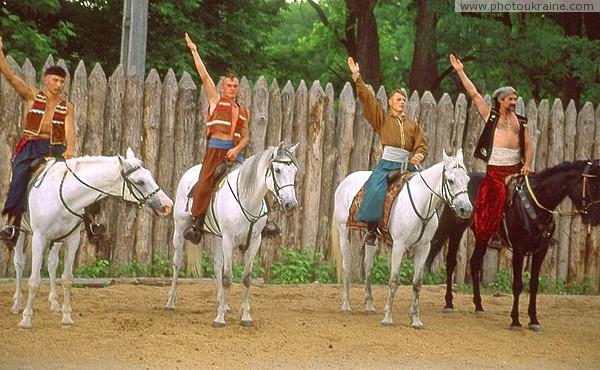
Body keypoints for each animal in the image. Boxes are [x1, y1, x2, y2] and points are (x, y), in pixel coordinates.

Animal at [11, 147, 173, 326]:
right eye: (140, 182)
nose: (168, 205)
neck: (63, 194)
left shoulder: (72, 239)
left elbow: (67, 279)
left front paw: (66, 317)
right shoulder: (39, 238)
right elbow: (34, 281)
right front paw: (26, 319)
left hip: (57, 240)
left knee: (52, 264)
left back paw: (54, 304)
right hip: (20, 233)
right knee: (19, 263)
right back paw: (17, 304)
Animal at [165, 142, 298, 326]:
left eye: (295, 172)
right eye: (277, 170)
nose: (291, 204)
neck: (247, 200)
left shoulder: (255, 241)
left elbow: (246, 278)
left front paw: (245, 316)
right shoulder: (228, 241)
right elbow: (228, 277)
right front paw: (219, 319)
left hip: (217, 236)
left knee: (216, 265)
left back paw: (222, 303)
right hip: (180, 229)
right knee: (177, 264)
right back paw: (170, 302)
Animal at [336, 149, 472, 328]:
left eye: (467, 180)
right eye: (450, 181)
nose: (466, 209)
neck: (422, 204)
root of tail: (346, 180)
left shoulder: (424, 248)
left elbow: (417, 283)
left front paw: (415, 319)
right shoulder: (399, 245)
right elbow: (394, 280)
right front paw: (388, 317)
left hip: (371, 239)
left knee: (368, 266)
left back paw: (370, 305)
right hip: (344, 232)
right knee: (346, 266)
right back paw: (346, 305)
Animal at [426, 160, 600, 330]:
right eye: (593, 186)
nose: (595, 218)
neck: (536, 205)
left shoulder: (541, 251)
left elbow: (534, 284)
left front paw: (534, 320)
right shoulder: (519, 250)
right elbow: (517, 285)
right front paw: (515, 321)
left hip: (482, 236)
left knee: (474, 263)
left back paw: (479, 306)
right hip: (456, 229)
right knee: (451, 262)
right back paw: (449, 303)